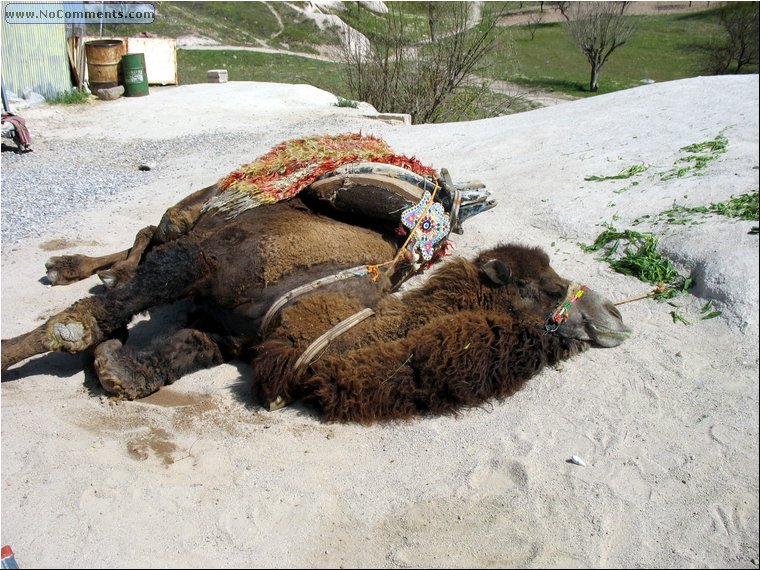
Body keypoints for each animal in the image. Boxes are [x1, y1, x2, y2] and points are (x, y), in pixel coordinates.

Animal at [0, 132, 628, 418]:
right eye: (551, 287)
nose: (616, 316)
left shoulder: (222, 332)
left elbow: (149, 366)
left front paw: (115, 360)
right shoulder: (207, 263)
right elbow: (73, 329)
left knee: (141, 246)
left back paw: (87, 274)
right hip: (205, 212)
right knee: (150, 234)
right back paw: (69, 269)